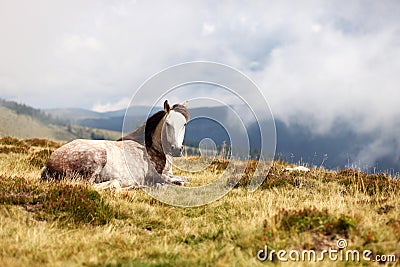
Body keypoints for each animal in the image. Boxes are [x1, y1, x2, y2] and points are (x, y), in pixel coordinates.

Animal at [40, 101, 189, 191]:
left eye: (184, 124)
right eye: (168, 124)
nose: (177, 149)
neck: (152, 149)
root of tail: (48, 165)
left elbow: (184, 179)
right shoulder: (157, 176)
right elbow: (176, 182)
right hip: (97, 160)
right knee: (93, 185)